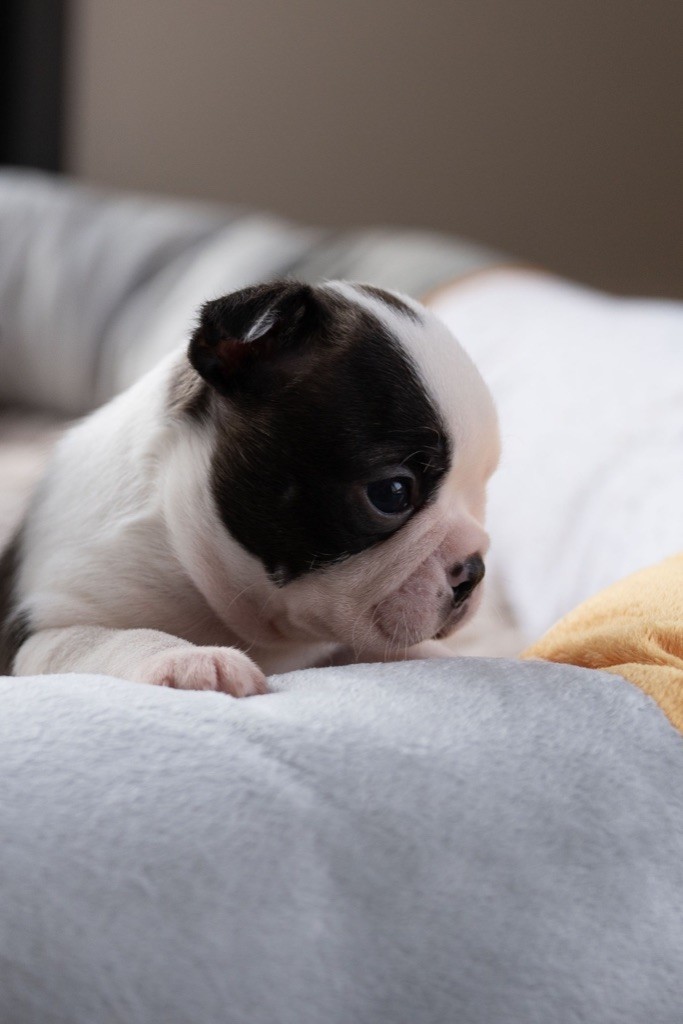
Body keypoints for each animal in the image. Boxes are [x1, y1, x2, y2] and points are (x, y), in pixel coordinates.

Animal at [0, 280, 499, 695]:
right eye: (392, 494)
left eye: (483, 491)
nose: (474, 571)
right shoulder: (38, 632)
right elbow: (102, 640)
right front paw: (186, 659)